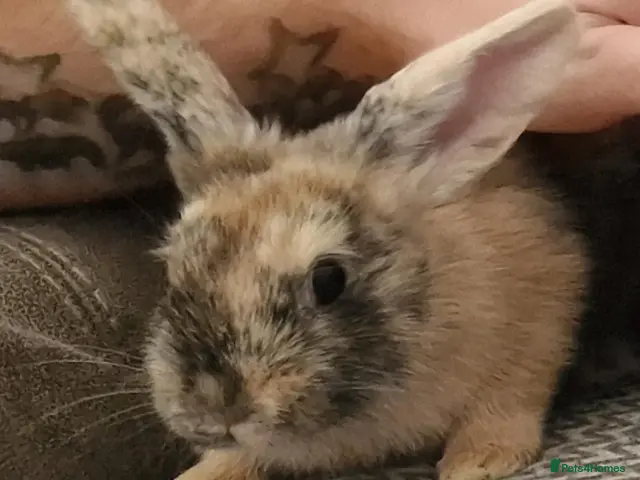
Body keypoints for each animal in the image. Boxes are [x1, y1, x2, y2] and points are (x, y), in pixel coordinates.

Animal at [65, 0, 640, 479]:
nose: (215, 410)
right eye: (173, 272)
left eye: (329, 279)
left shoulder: (542, 317)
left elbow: (507, 403)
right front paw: (204, 472)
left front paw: (477, 463)